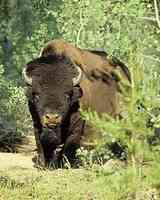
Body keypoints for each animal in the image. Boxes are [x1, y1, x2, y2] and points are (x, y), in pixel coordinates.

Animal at [23, 39, 131, 167]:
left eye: (67, 95)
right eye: (36, 95)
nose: (52, 118)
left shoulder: (77, 126)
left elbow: (68, 145)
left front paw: (63, 164)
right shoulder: (36, 123)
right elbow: (40, 143)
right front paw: (42, 164)